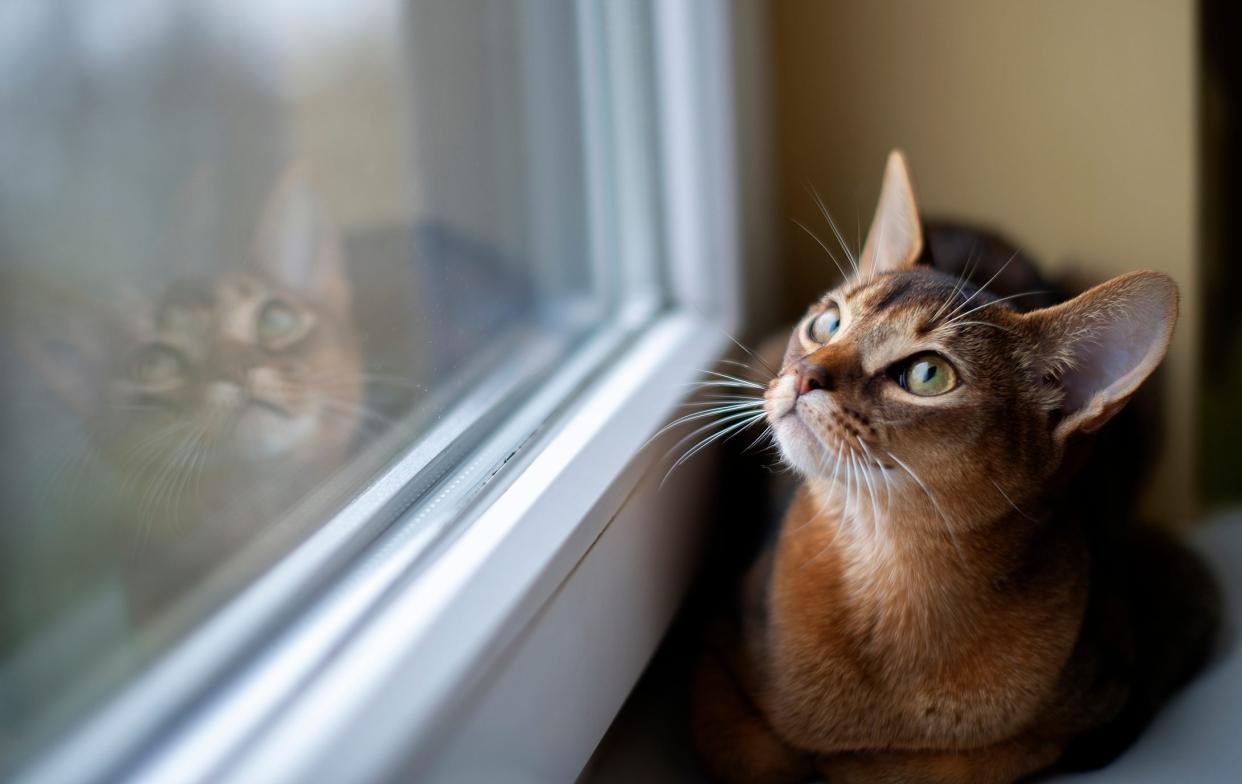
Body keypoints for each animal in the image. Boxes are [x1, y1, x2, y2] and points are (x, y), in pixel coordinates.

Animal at [695, 150, 1217, 780]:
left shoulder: (1160, 626)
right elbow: (758, 753)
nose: (804, 376)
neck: (891, 571)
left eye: (927, 374)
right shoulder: (711, 650)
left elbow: (972, 760)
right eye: (828, 323)